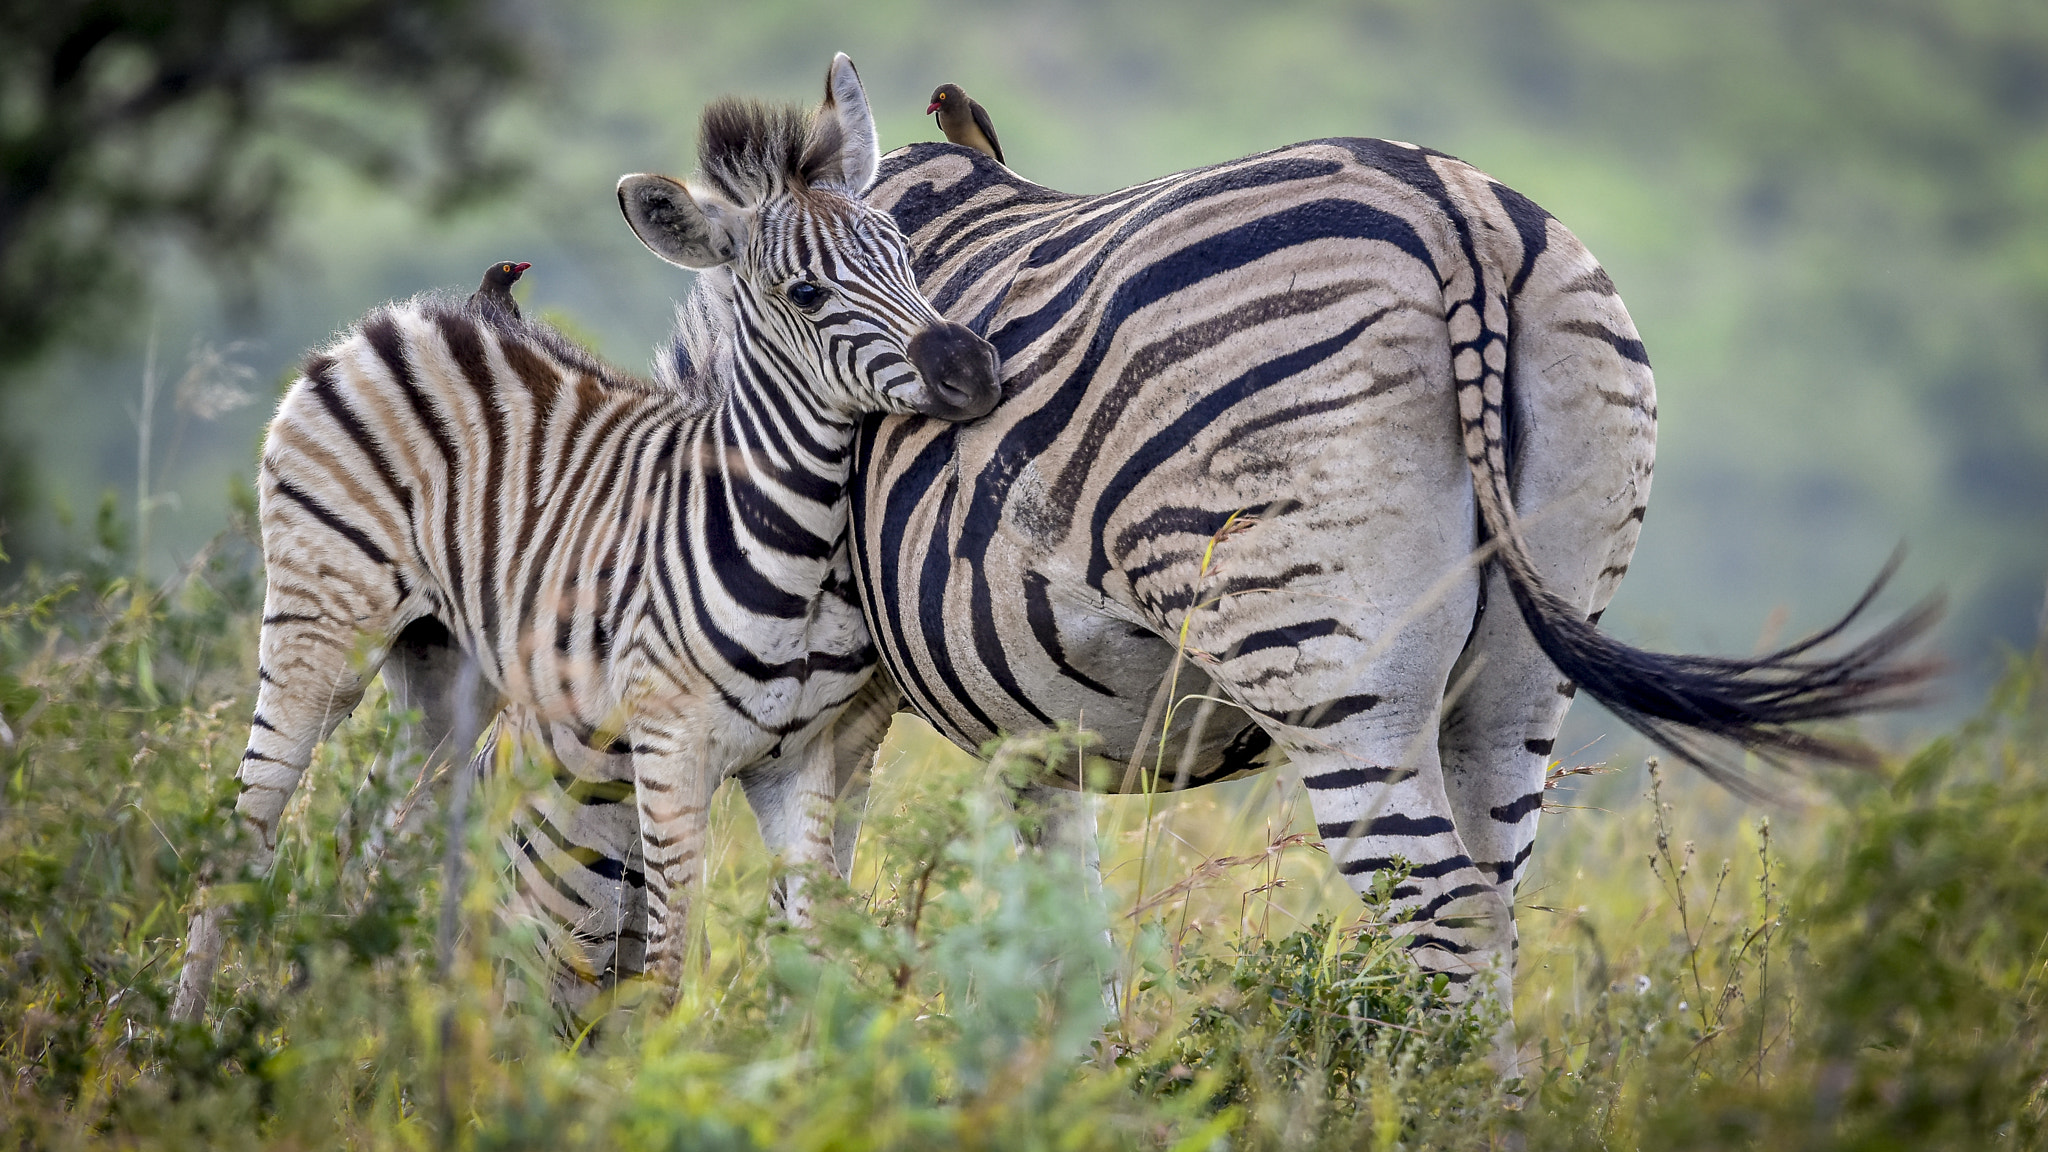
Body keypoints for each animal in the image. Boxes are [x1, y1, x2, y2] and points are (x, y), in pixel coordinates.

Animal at [168, 55, 1001, 1023]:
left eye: (904, 254)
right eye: (807, 293)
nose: (972, 368)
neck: (790, 538)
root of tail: (400, 320)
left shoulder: (797, 760)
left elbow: (810, 951)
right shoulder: (671, 752)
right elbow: (668, 966)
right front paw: (655, 1063)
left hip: (447, 665)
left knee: (376, 828)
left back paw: (349, 1016)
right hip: (323, 629)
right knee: (251, 827)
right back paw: (187, 1036)